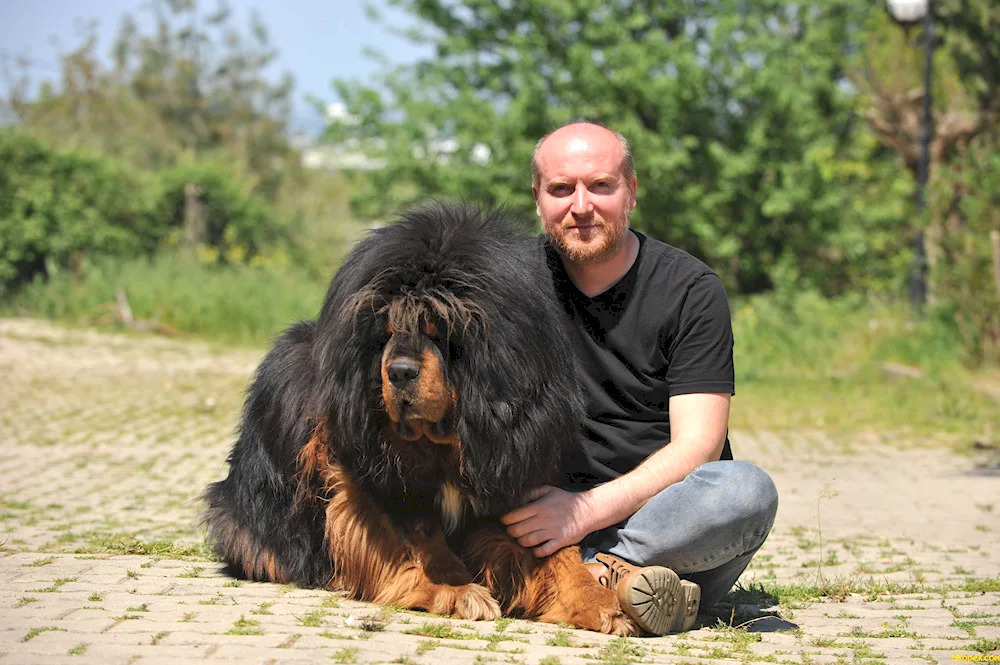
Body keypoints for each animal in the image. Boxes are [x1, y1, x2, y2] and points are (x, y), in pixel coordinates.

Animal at [205, 202, 632, 632]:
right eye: (387, 331)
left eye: (439, 330)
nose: (399, 372)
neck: (444, 442)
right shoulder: (373, 475)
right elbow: (417, 537)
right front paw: (456, 589)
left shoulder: (509, 465)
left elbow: (557, 550)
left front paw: (597, 599)